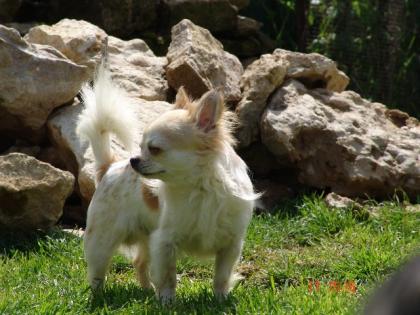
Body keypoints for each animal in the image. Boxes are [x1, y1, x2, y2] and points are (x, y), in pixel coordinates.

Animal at [77, 62, 258, 304]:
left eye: (154, 149)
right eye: (140, 147)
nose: (134, 160)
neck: (200, 188)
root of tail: (110, 165)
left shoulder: (231, 245)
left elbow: (222, 276)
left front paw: (220, 299)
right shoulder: (164, 242)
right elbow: (167, 276)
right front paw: (166, 301)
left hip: (146, 237)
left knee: (139, 262)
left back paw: (145, 290)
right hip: (103, 239)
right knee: (98, 270)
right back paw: (99, 295)